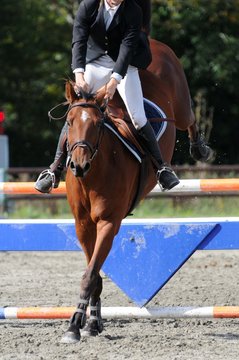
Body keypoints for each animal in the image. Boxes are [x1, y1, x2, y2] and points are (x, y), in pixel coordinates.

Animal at [58, 39, 214, 344]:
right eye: (69, 122)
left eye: (97, 124)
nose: (79, 166)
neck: (92, 176)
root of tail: (151, 40)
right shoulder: (83, 225)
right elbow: (94, 273)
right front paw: (92, 322)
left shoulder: (108, 222)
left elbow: (90, 274)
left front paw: (74, 325)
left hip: (179, 106)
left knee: (188, 117)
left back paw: (199, 150)